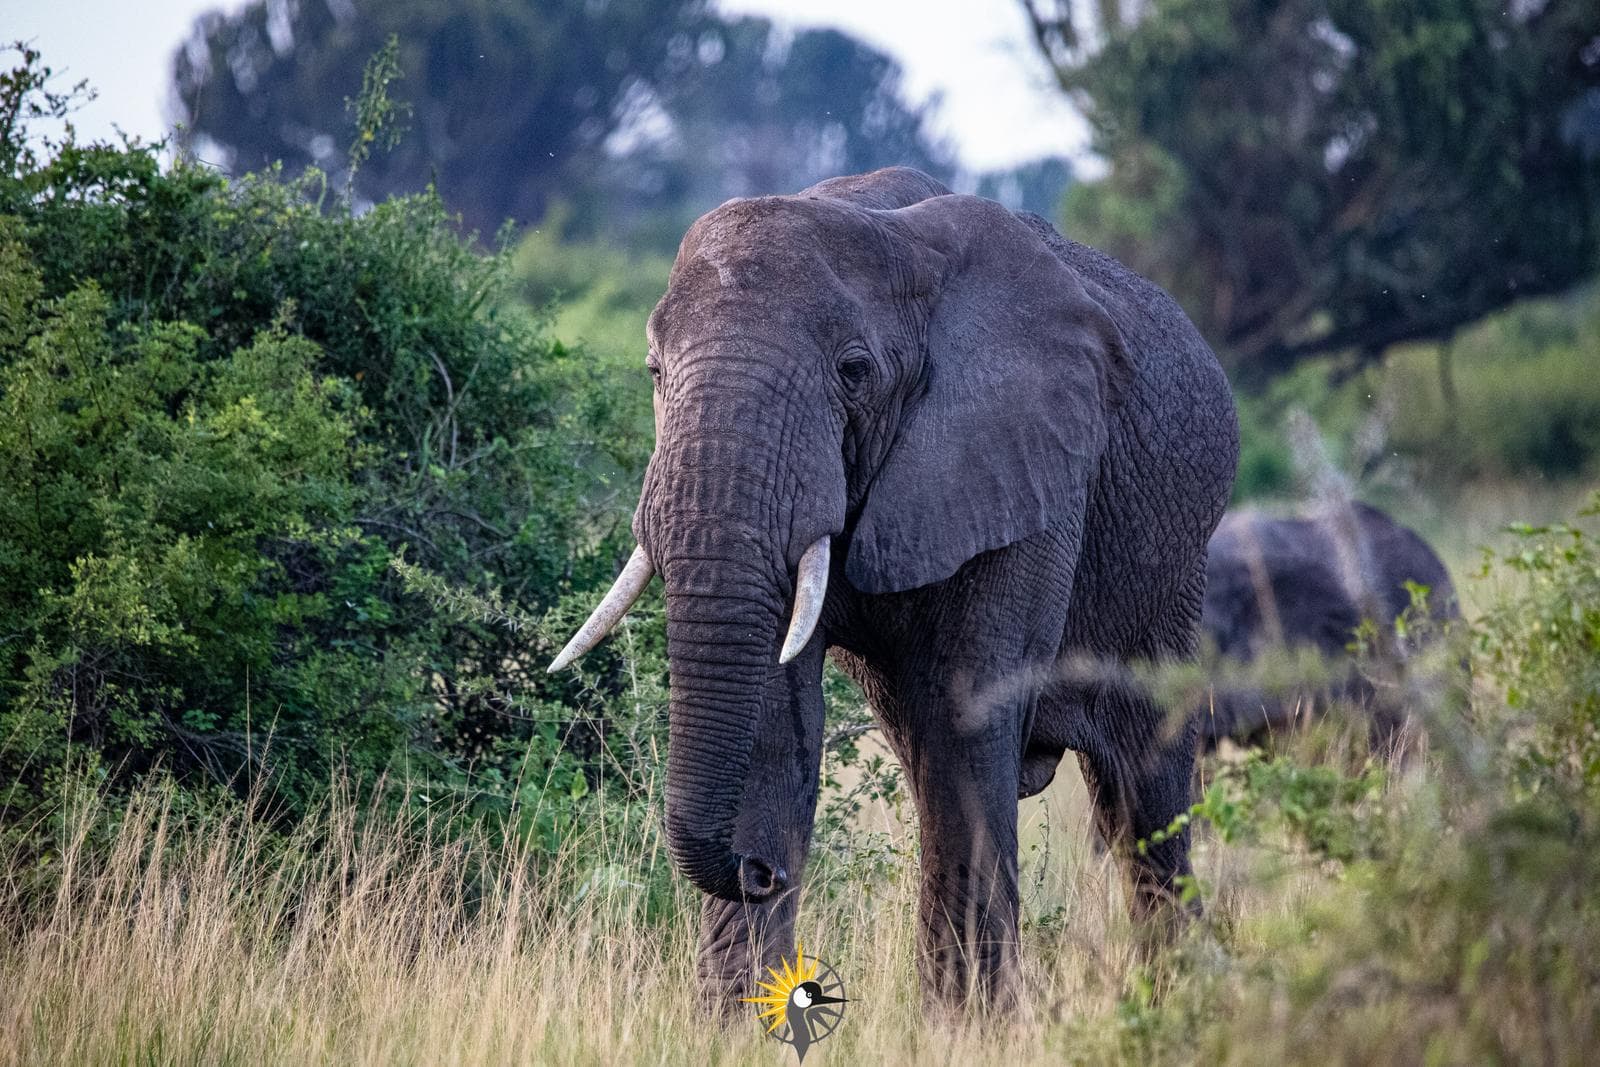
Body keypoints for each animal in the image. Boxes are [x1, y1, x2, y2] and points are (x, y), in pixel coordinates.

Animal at [549, 167, 1238, 1014]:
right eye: (653, 370)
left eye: (854, 371)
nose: (758, 870)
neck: (885, 239)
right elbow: (776, 721)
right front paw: (736, 1020)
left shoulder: (1027, 462)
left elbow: (965, 713)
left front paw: (969, 1022)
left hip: (1173, 566)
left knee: (1144, 791)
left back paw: (1178, 997)